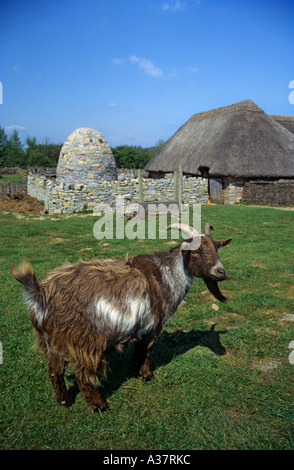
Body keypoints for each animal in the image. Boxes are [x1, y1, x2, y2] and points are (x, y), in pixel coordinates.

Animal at [11, 222, 232, 410]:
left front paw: (135, 367)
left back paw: (64, 400)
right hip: (84, 341)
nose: (221, 272)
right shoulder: (154, 325)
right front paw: (147, 375)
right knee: (82, 375)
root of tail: (41, 294)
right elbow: (147, 351)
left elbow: (139, 350)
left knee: (55, 371)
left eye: (216, 248)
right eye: (195, 251)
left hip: (53, 341)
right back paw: (99, 405)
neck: (166, 276)